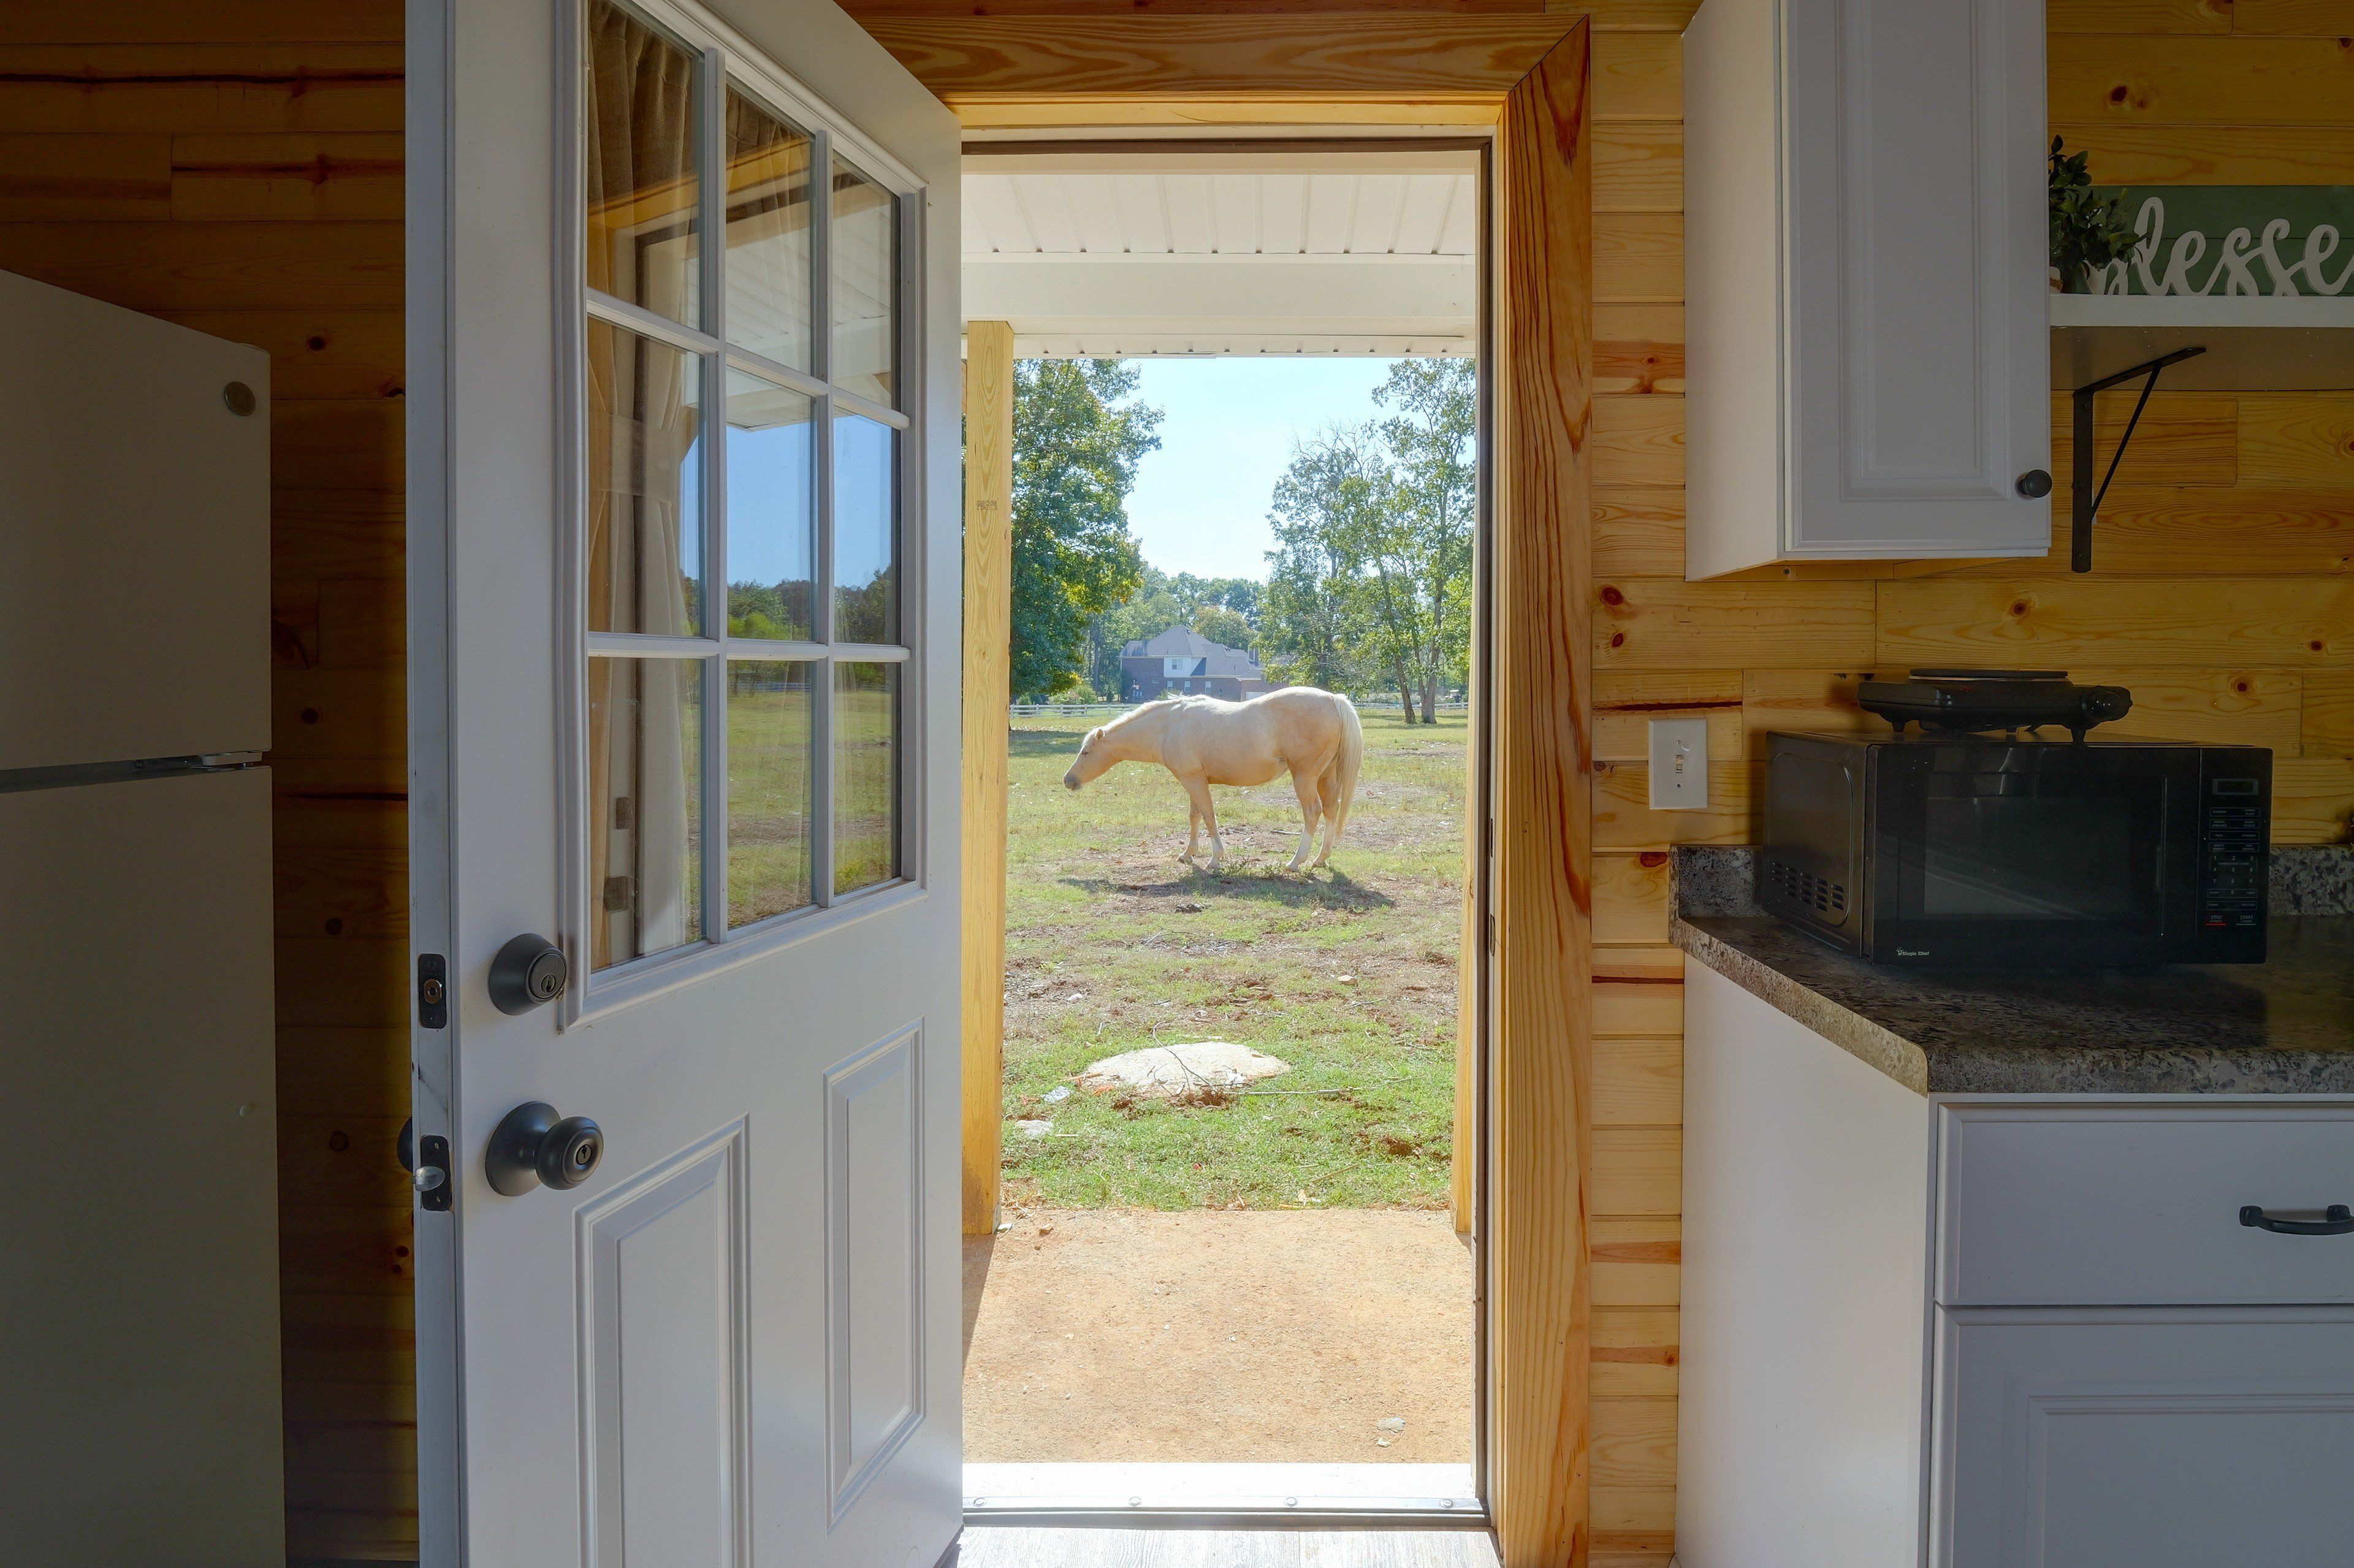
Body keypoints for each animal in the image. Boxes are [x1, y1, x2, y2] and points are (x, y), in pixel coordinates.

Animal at [1063, 687, 1364, 874]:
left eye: (1086, 752)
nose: (1068, 780)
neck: (1169, 725)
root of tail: (1334, 700)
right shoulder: (1192, 780)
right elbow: (1195, 815)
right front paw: (1188, 854)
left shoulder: (1194, 781)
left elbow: (1208, 815)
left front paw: (1215, 858)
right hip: (1325, 776)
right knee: (1331, 810)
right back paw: (1321, 859)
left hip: (1305, 777)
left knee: (1313, 812)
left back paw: (1295, 862)